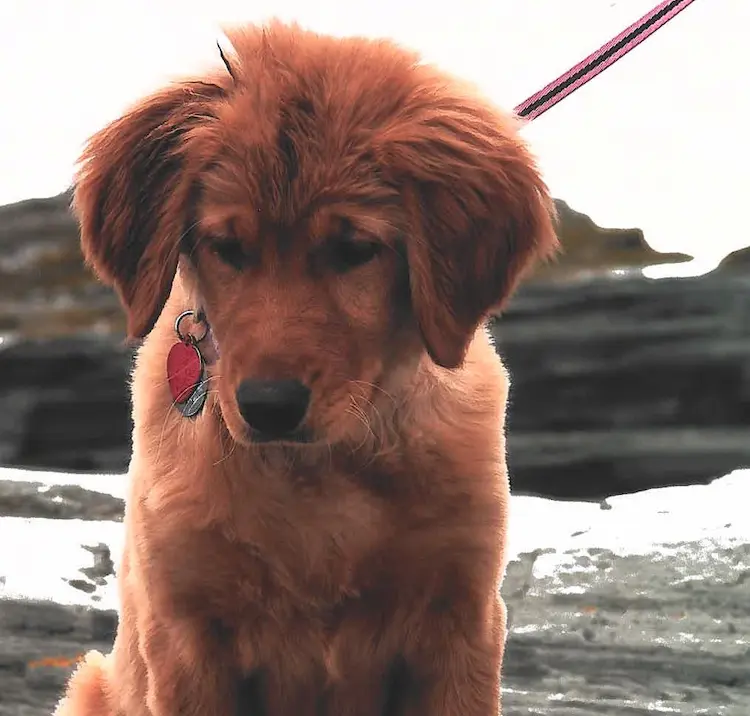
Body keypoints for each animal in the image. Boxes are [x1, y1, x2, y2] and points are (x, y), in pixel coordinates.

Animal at [54, 19, 560, 712]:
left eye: (355, 250)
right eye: (227, 246)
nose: (269, 406)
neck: (322, 473)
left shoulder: (460, 627)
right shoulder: (186, 638)